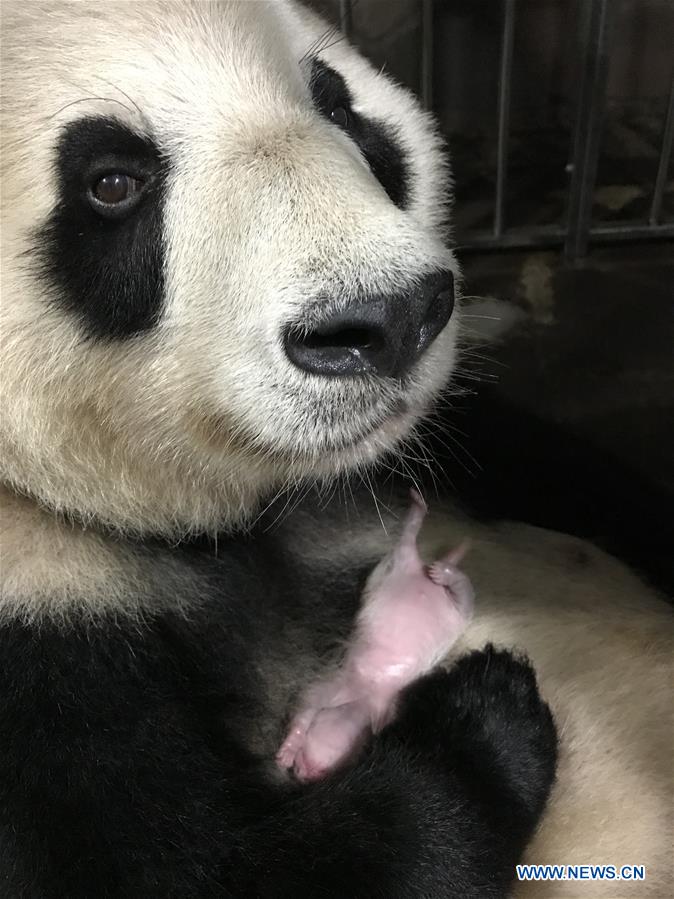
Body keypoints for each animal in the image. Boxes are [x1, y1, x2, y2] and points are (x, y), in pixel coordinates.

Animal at [0, 1, 668, 899]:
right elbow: (206, 866)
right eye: (111, 181)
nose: (390, 317)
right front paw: (485, 707)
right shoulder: (38, 600)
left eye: (336, 104)